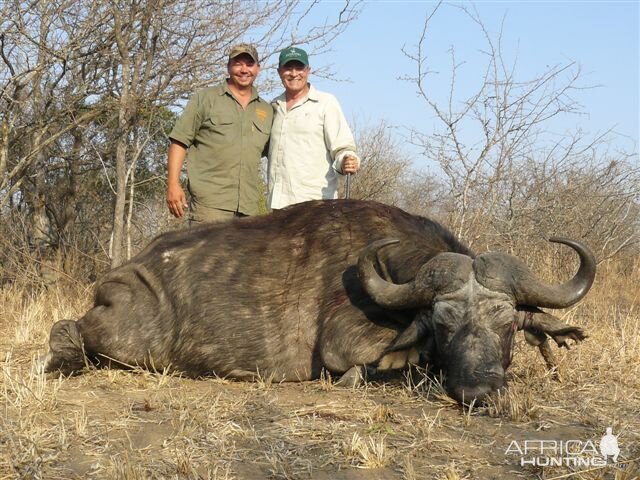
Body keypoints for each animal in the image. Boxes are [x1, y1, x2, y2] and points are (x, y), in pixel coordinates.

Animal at [42, 201, 596, 404]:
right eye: (442, 323)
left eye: (508, 324)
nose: (478, 391)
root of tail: (120, 274)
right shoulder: (341, 344)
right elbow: (380, 362)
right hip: (123, 338)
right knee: (67, 330)